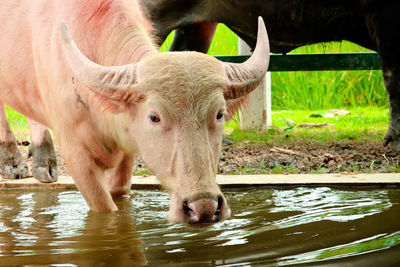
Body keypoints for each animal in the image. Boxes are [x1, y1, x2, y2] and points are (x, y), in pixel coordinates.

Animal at [0, 0, 270, 226]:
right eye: (154, 116)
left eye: (219, 114)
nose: (203, 207)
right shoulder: (75, 154)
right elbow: (104, 206)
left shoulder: (128, 146)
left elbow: (119, 191)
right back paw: (13, 162)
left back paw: (44, 162)